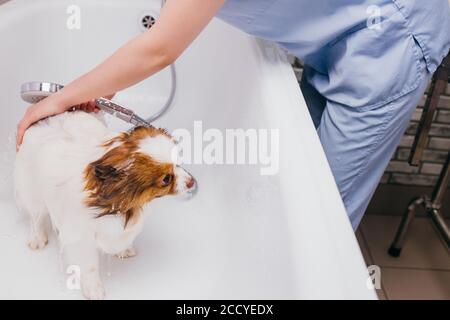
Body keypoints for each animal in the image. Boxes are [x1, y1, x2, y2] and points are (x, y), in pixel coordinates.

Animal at [13, 110, 193, 300]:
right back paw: (37, 238)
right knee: (36, 216)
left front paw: (123, 249)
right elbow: (90, 265)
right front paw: (93, 289)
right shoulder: (81, 236)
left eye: (178, 163)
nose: (191, 182)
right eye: (166, 179)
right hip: (33, 191)